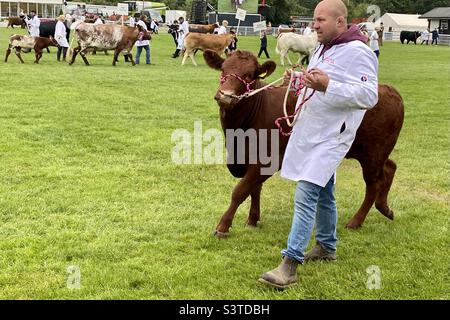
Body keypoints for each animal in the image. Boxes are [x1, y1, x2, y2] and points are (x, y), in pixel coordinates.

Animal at [204, 50, 404, 238]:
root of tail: (389, 90)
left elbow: (240, 190)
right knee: (390, 167)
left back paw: (356, 221)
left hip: (374, 153)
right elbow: (254, 189)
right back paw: (385, 208)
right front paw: (252, 219)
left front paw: (223, 227)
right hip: (372, 152)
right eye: (223, 69)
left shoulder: (268, 160)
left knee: (374, 183)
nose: (226, 96)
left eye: (249, 75)